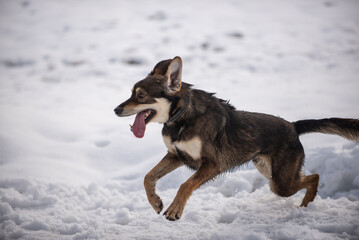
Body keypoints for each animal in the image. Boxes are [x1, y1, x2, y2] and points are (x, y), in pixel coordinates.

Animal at [114, 56, 359, 221]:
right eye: (131, 93)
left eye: (141, 96)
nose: (116, 110)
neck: (182, 118)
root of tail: (292, 126)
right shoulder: (176, 155)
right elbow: (148, 177)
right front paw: (155, 201)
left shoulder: (212, 164)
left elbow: (185, 185)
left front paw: (175, 209)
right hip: (271, 174)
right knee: (310, 177)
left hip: (281, 182)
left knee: (315, 177)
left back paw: (306, 206)